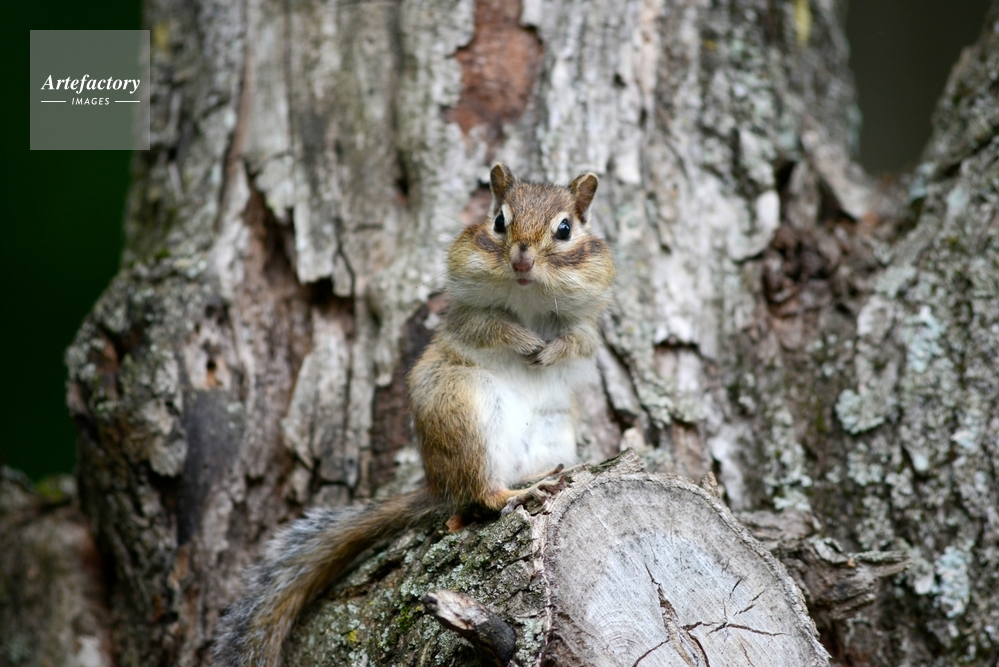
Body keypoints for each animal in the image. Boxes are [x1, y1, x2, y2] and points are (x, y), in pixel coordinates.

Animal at [213, 163, 615, 666]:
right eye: (498, 221)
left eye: (565, 229)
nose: (522, 261)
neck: (529, 299)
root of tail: (437, 485)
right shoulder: (467, 317)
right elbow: (490, 327)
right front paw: (523, 341)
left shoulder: (588, 324)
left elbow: (577, 341)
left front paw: (550, 350)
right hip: (462, 407)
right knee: (482, 493)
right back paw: (518, 492)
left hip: (554, 427)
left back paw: (544, 473)